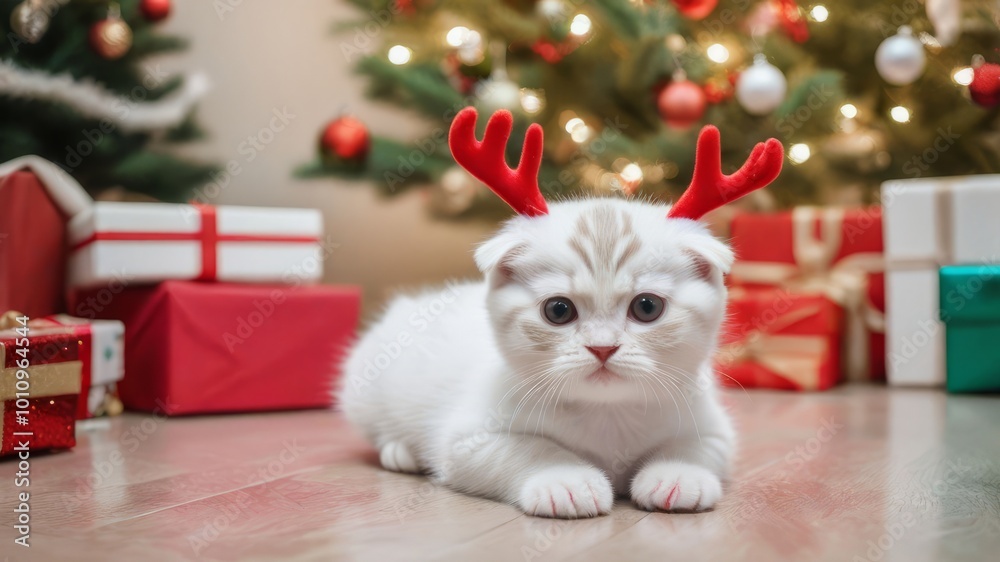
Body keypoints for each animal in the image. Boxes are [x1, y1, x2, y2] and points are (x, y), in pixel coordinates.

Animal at [340, 198, 740, 516]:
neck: (608, 413)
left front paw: (678, 473)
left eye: (647, 307)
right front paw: (566, 480)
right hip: (363, 385)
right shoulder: (466, 440)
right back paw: (400, 451)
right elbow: (529, 449)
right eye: (558, 310)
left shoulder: (711, 424)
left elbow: (700, 446)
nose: (602, 347)